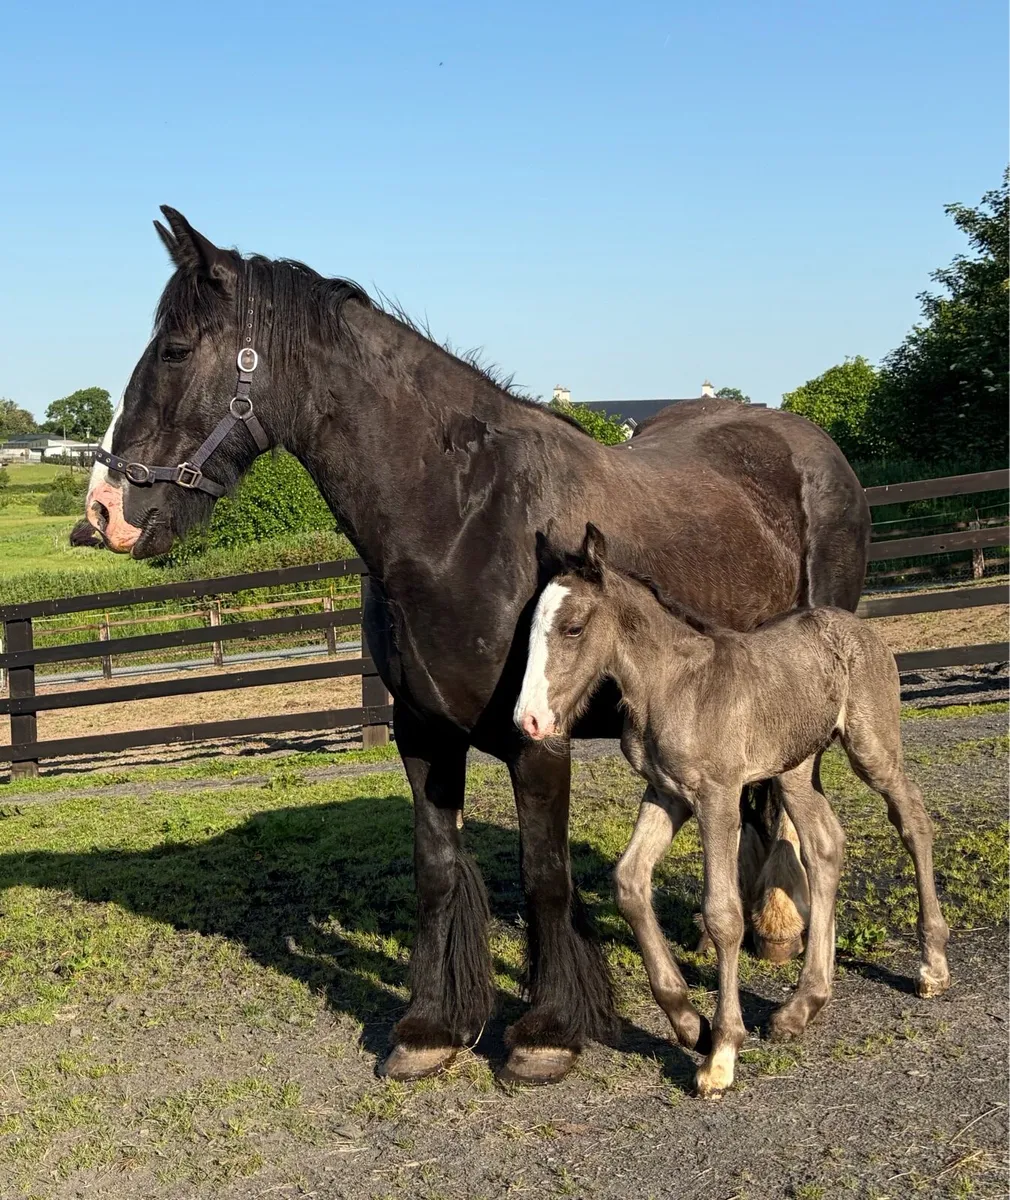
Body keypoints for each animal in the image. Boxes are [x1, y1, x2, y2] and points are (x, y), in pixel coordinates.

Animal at [79, 206, 870, 1085]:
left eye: (176, 350)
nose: (103, 509)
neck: (462, 519)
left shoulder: (540, 738)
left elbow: (545, 877)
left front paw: (548, 1030)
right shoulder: (422, 734)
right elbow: (436, 871)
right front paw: (432, 1026)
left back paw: (779, 929)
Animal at [515, 524, 950, 1097]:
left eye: (573, 627)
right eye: (529, 629)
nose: (529, 720)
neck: (672, 686)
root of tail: (856, 625)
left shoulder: (717, 798)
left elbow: (723, 915)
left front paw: (720, 1053)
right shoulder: (666, 794)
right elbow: (629, 881)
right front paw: (687, 1021)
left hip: (871, 748)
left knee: (912, 821)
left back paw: (933, 966)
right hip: (794, 769)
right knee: (825, 845)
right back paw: (802, 1005)